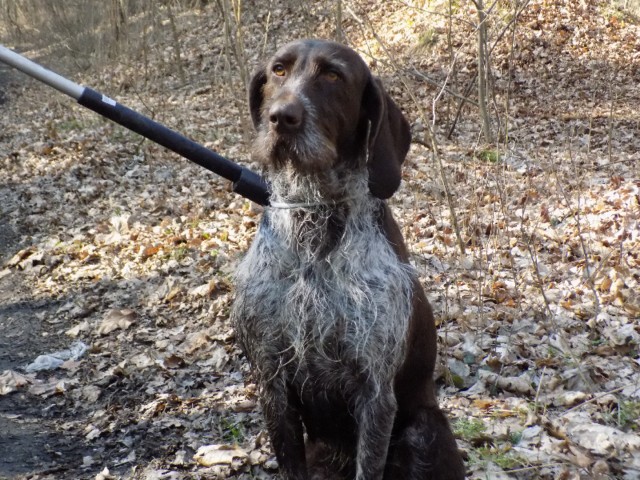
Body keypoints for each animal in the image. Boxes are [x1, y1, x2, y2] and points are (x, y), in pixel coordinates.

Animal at [230, 38, 464, 480]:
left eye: (333, 76)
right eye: (278, 71)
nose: (281, 117)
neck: (313, 221)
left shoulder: (375, 394)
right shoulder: (272, 383)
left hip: (425, 429)